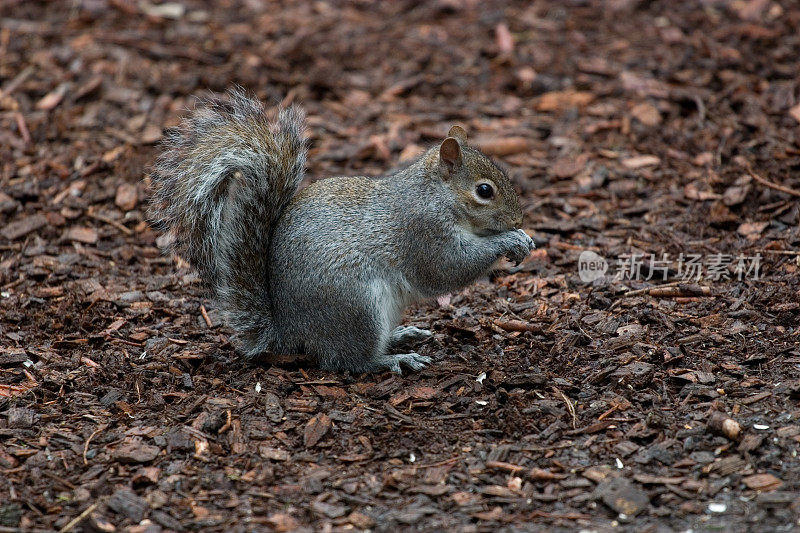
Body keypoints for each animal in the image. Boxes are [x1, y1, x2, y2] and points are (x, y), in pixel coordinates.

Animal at [148, 89, 536, 372]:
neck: (435, 195)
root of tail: (290, 332)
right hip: (357, 308)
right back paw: (393, 359)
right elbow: (448, 269)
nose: (518, 220)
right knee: (348, 361)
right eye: (484, 191)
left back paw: (402, 336)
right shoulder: (423, 232)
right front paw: (509, 241)